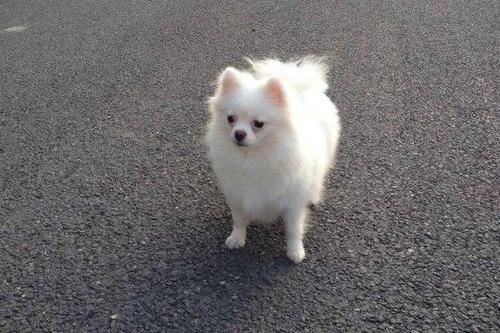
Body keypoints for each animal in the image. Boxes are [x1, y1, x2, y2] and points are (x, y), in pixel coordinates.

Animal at [206, 57, 340, 262]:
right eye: (231, 118)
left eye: (258, 124)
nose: (238, 134)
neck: (255, 157)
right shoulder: (237, 193)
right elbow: (239, 220)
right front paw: (236, 238)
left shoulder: (293, 203)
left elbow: (293, 230)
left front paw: (295, 251)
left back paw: (314, 196)